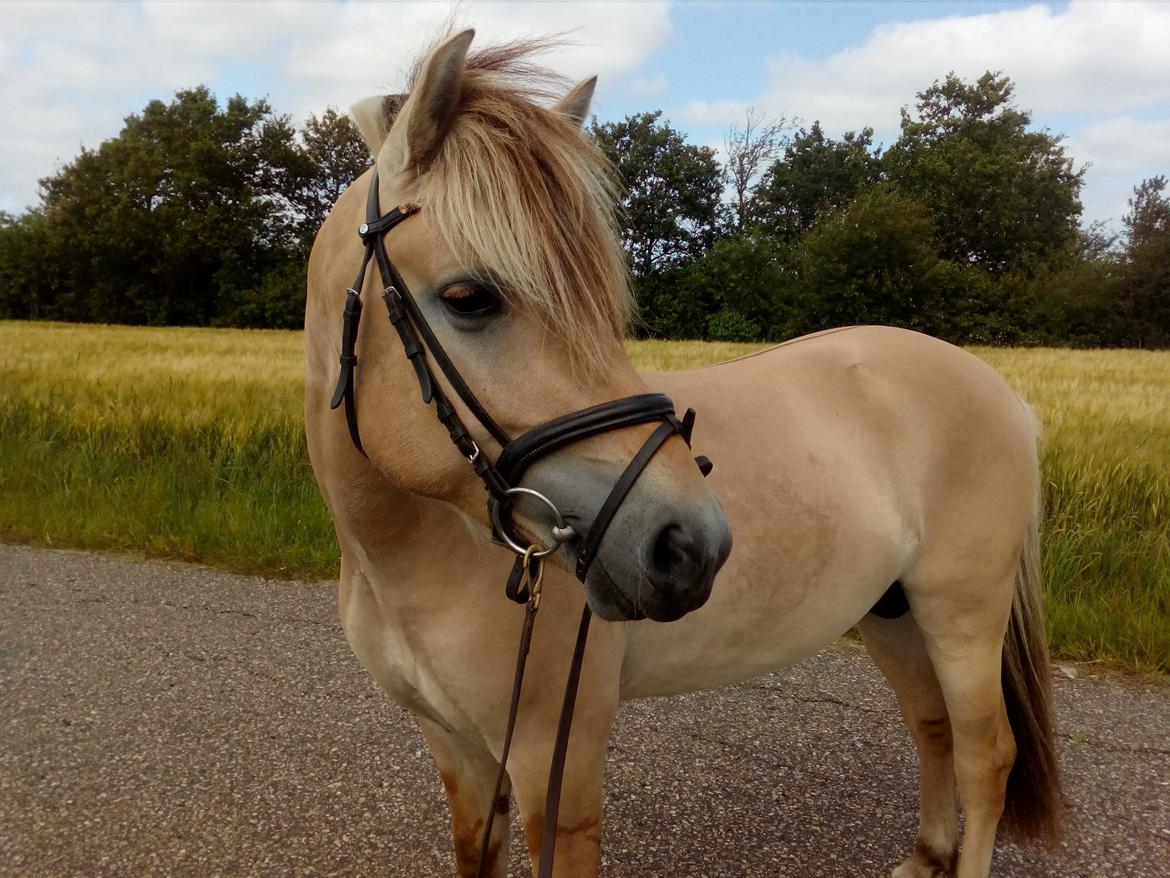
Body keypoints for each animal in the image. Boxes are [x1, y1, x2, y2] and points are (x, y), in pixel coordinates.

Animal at [304, 29, 1062, 878]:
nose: (691, 545)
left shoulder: (554, 766)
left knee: (985, 758)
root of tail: (998, 390)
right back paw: (928, 853)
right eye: (470, 298)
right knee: (930, 725)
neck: (412, 556)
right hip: (892, 611)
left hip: (963, 613)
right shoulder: (457, 753)